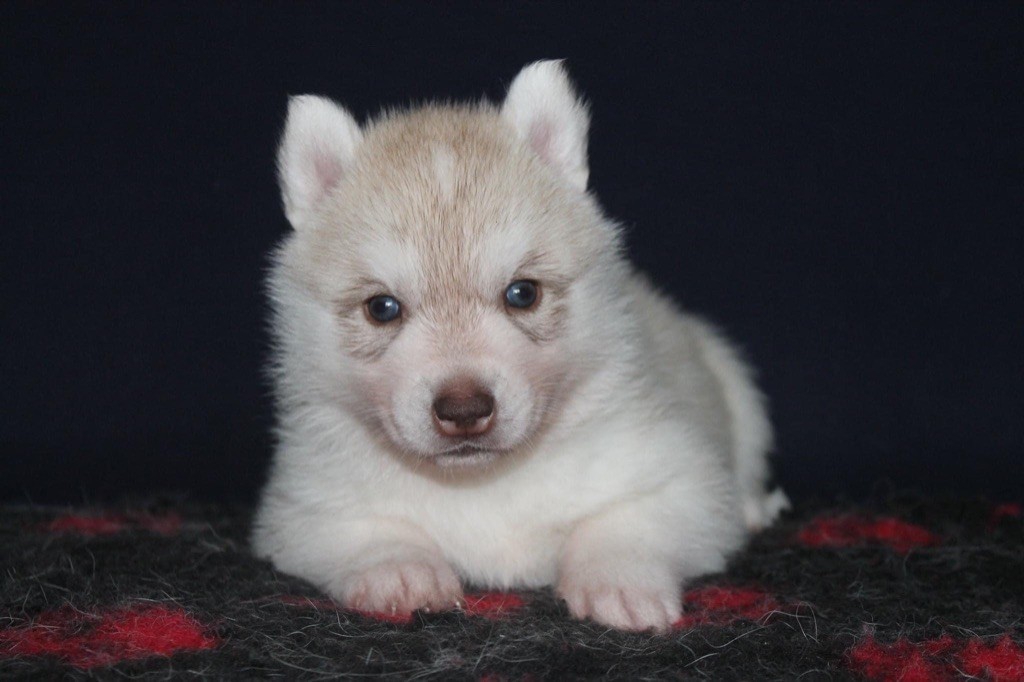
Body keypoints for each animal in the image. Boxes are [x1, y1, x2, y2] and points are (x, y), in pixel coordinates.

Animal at [251, 61, 786, 630]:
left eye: (522, 293)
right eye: (382, 308)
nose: (464, 409)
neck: (481, 482)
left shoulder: (682, 480)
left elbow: (622, 523)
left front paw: (618, 579)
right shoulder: (301, 510)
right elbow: (368, 532)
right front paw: (399, 571)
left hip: (732, 380)